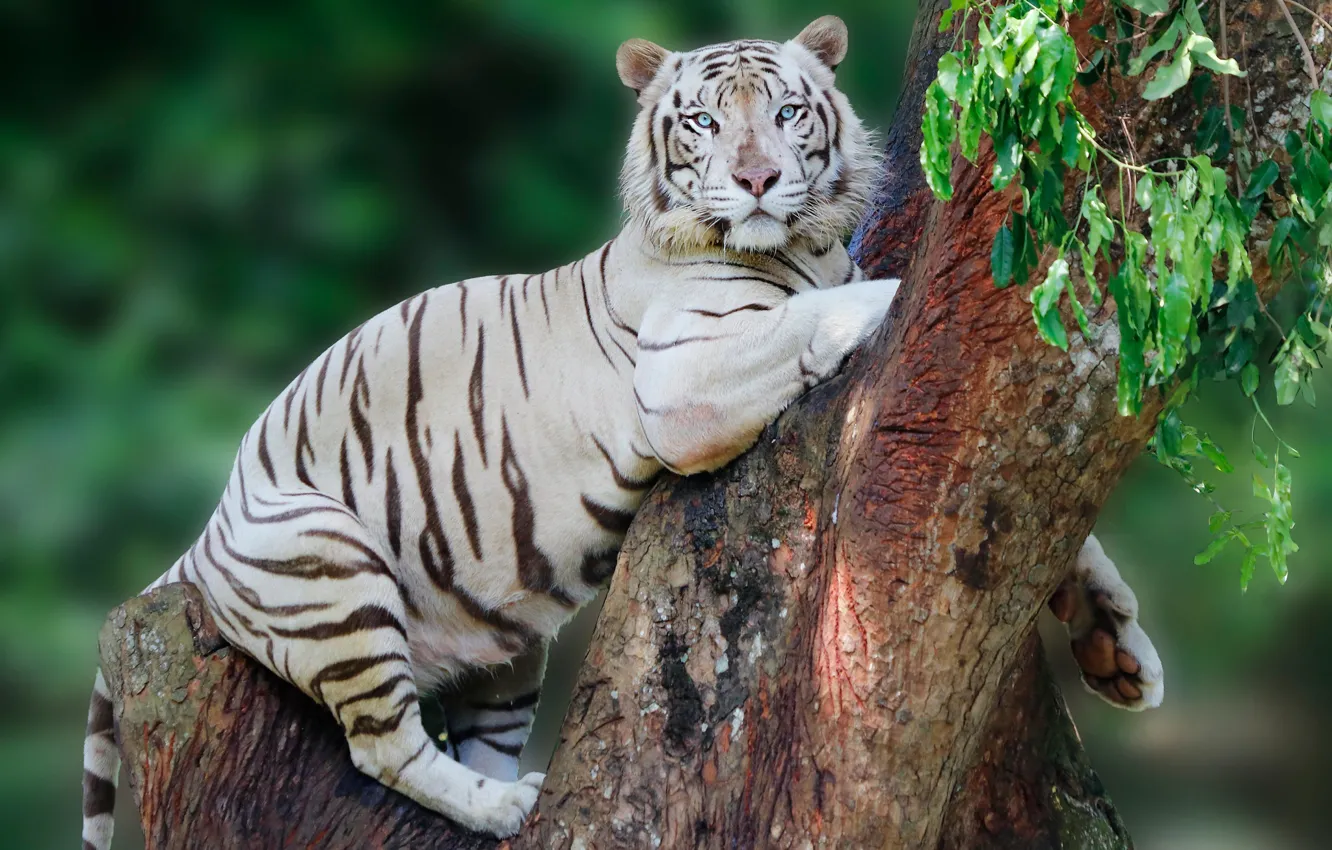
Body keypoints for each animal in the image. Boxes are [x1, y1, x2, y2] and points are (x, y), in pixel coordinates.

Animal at [81, 16, 1164, 846]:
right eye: (704, 121)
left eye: (786, 112)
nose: (758, 179)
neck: (804, 249)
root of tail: (202, 536)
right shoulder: (683, 379)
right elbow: (817, 317)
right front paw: (892, 293)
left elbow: (1062, 535)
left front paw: (1117, 647)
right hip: (330, 565)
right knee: (380, 743)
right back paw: (508, 808)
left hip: (504, 652)